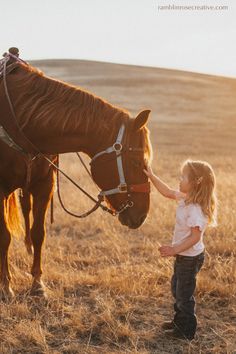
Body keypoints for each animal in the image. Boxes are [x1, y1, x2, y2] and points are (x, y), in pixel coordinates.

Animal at [0, 48, 152, 300]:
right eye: (136, 161)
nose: (141, 216)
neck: (21, 119)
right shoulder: (1, 189)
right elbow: (4, 236)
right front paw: (5, 286)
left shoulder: (44, 185)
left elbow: (39, 233)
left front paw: (38, 284)